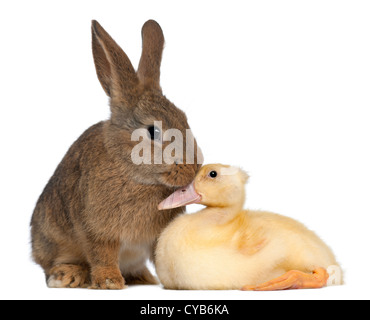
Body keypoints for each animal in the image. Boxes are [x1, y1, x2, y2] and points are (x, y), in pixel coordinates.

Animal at [30, 20, 202, 290]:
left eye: (184, 119)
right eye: (153, 131)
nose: (194, 167)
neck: (134, 174)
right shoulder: (97, 231)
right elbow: (102, 255)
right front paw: (109, 282)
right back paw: (68, 276)